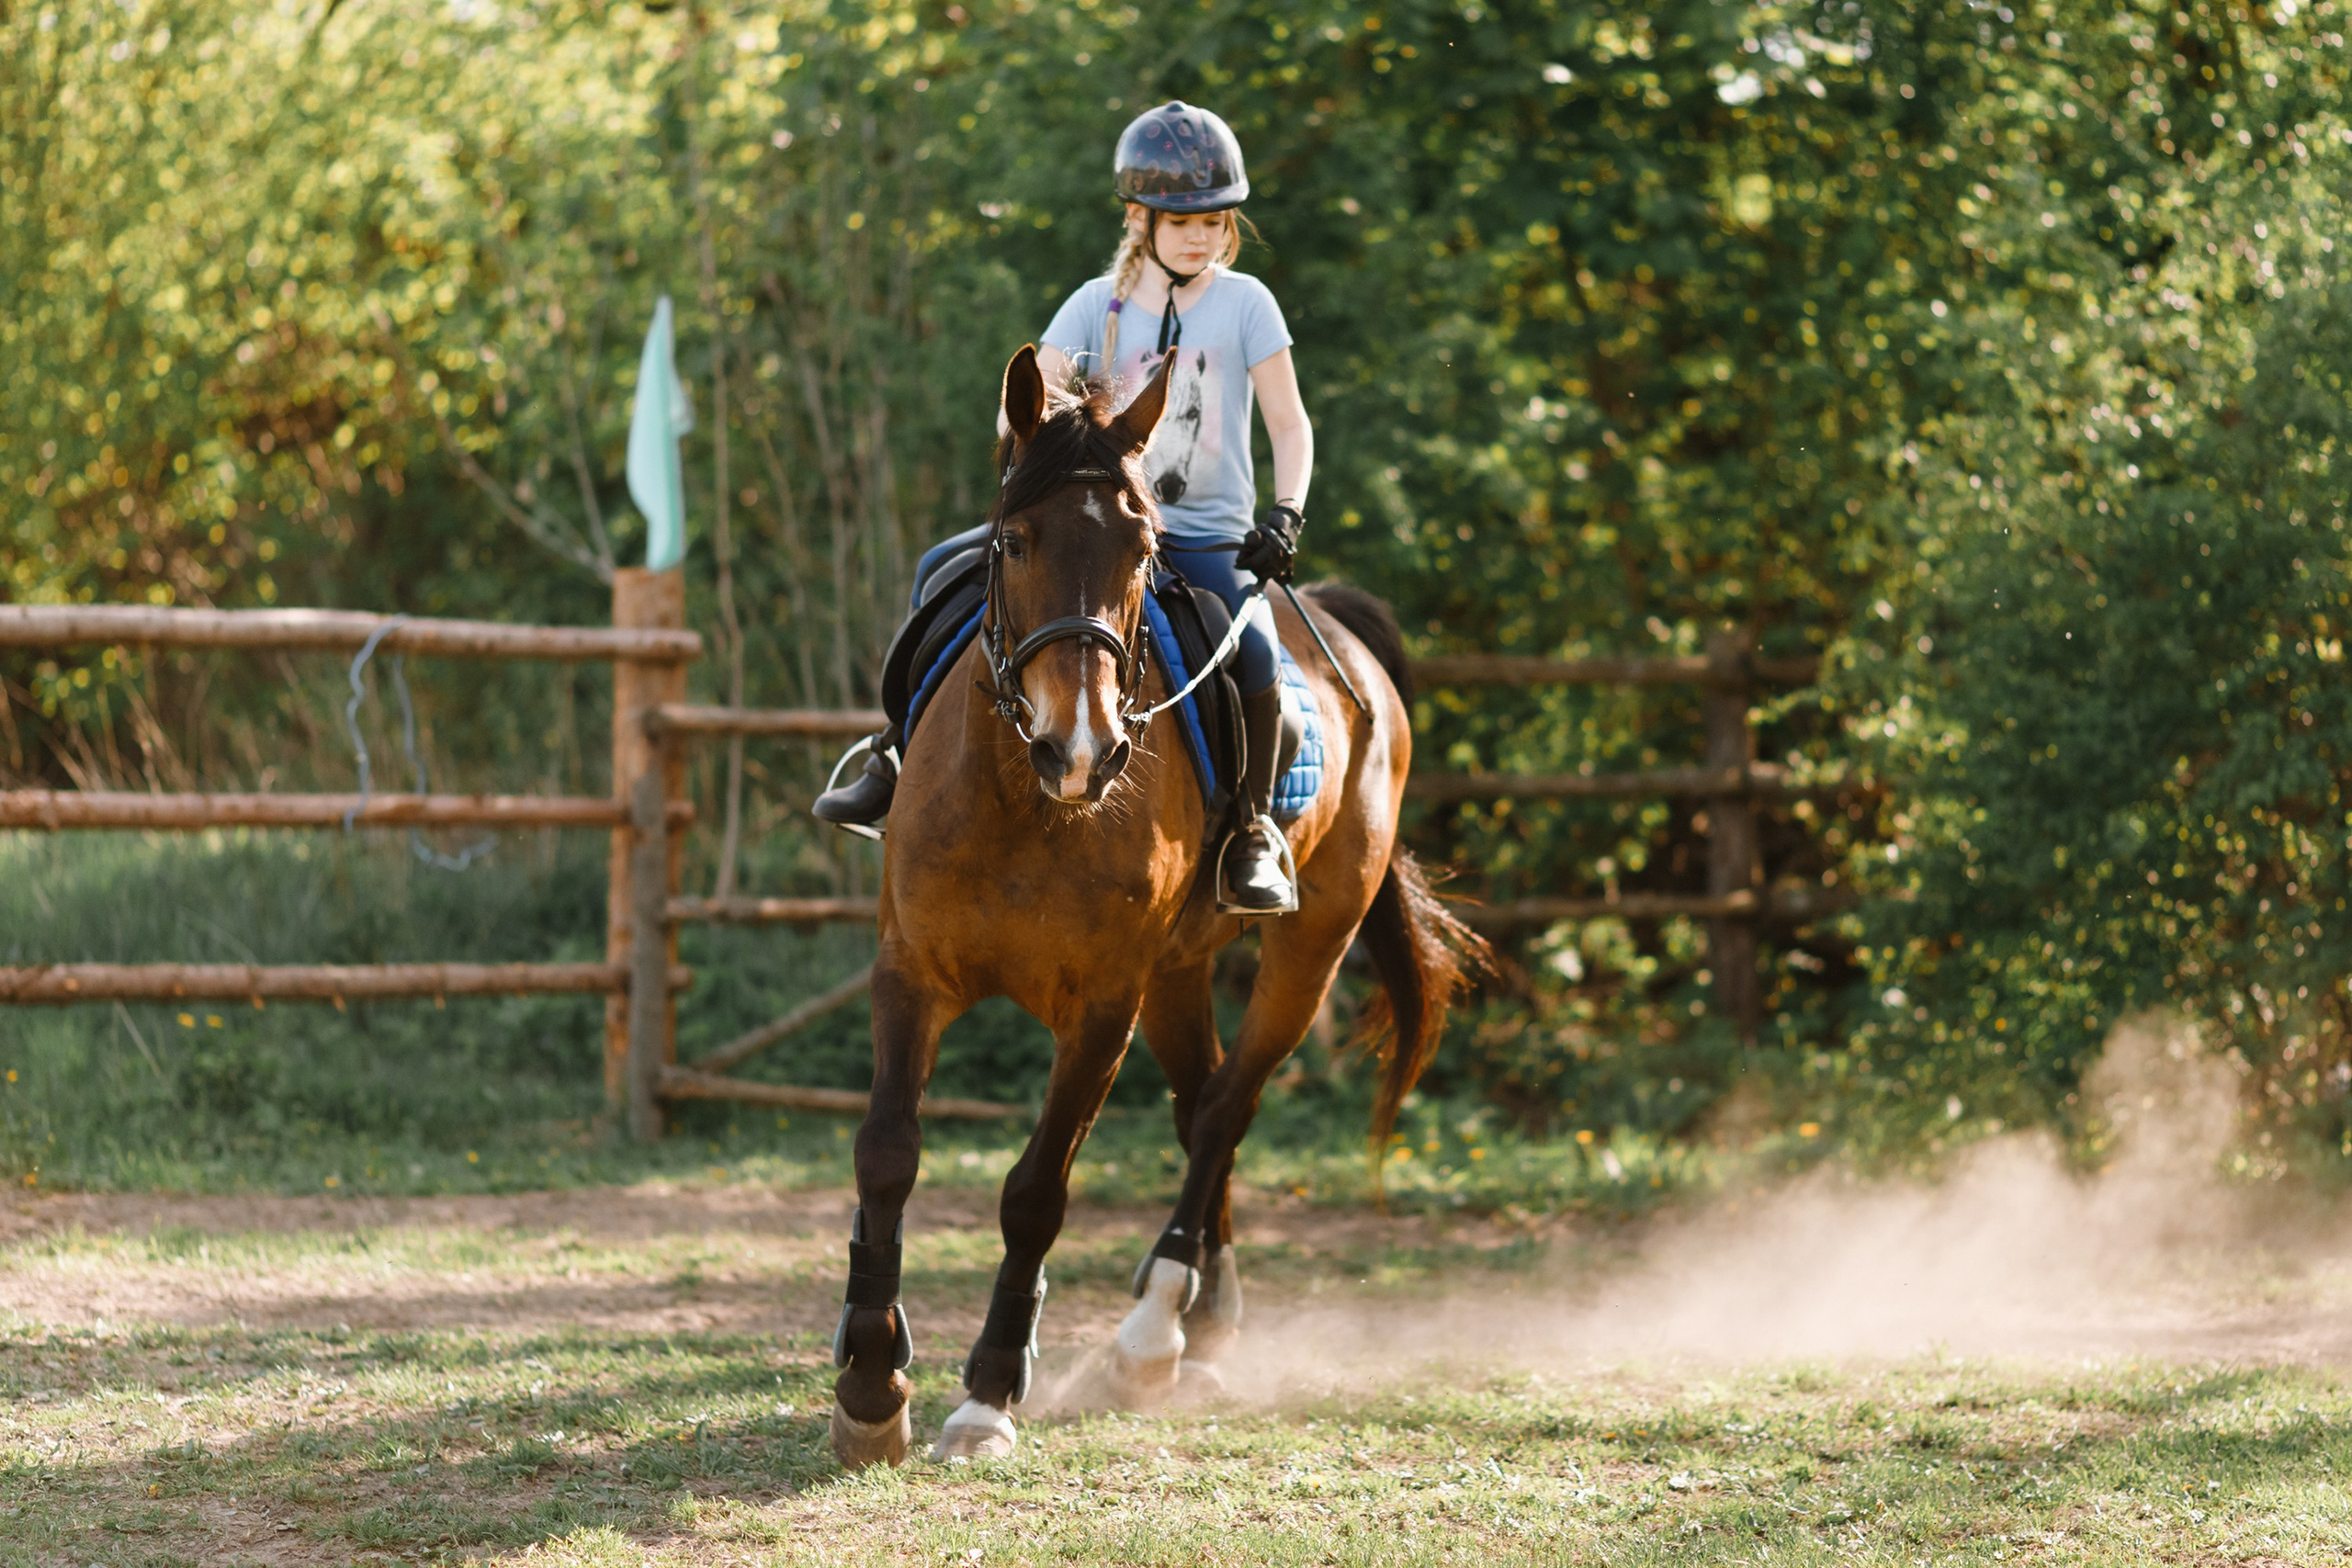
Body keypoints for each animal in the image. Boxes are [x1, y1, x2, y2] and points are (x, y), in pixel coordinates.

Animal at [828, 344, 1487, 1467]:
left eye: (1141, 550)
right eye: (1014, 540)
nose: (1080, 747)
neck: (1027, 804)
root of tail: (1341, 630)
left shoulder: (1102, 1007)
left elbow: (1036, 1192)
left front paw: (988, 1391)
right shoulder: (910, 970)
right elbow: (885, 1153)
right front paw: (872, 1383)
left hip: (1308, 949)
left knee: (1227, 1107)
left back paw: (1153, 1330)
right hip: (1181, 970)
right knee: (1199, 1102)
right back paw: (1204, 1320)